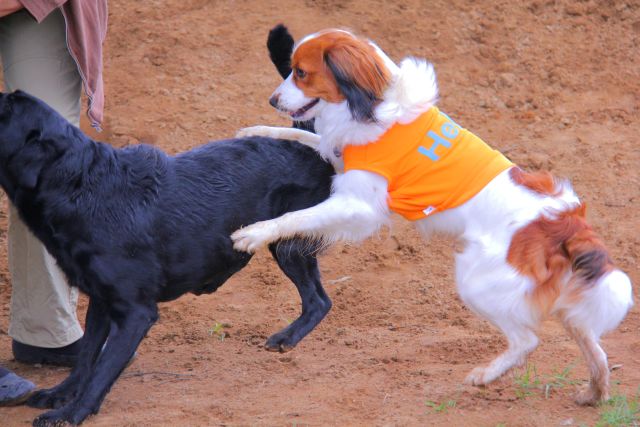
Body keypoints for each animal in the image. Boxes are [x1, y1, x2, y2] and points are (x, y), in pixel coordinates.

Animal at [1, 86, 336, 424]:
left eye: (6, 108)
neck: (80, 185)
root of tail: (315, 142)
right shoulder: (100, 300)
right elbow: (86, 358)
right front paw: (61, 394)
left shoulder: (136, 312)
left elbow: (101, 371)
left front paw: (73, 413)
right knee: (317, 300)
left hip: (288, 244)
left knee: (320, 300)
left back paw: (287, 338)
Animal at [232, 27, 632, 404]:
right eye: (291, 69)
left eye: (301, 72)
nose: (272, 99)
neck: (372, 104)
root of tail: (566, 222)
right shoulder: (339, 155)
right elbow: (300, 136)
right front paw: (256, 130)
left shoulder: (358, 205)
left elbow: (295, 217)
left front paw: (255, 233)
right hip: (565, 304)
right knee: (593, 348)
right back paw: (594, 394)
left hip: (475, 282)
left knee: (526, 341)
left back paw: (487, 375)